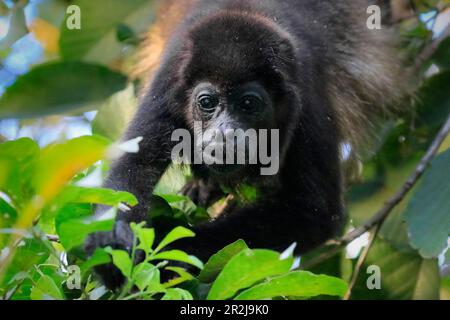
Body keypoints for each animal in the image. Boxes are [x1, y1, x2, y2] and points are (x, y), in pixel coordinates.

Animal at [84, 0, 404, 288]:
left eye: (249, 104)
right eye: (207, 102)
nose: (225, 136)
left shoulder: (307, 98)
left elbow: (314, 211)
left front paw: (168, 244)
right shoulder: (167, 83)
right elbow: (135, 165)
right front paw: (110, 239)